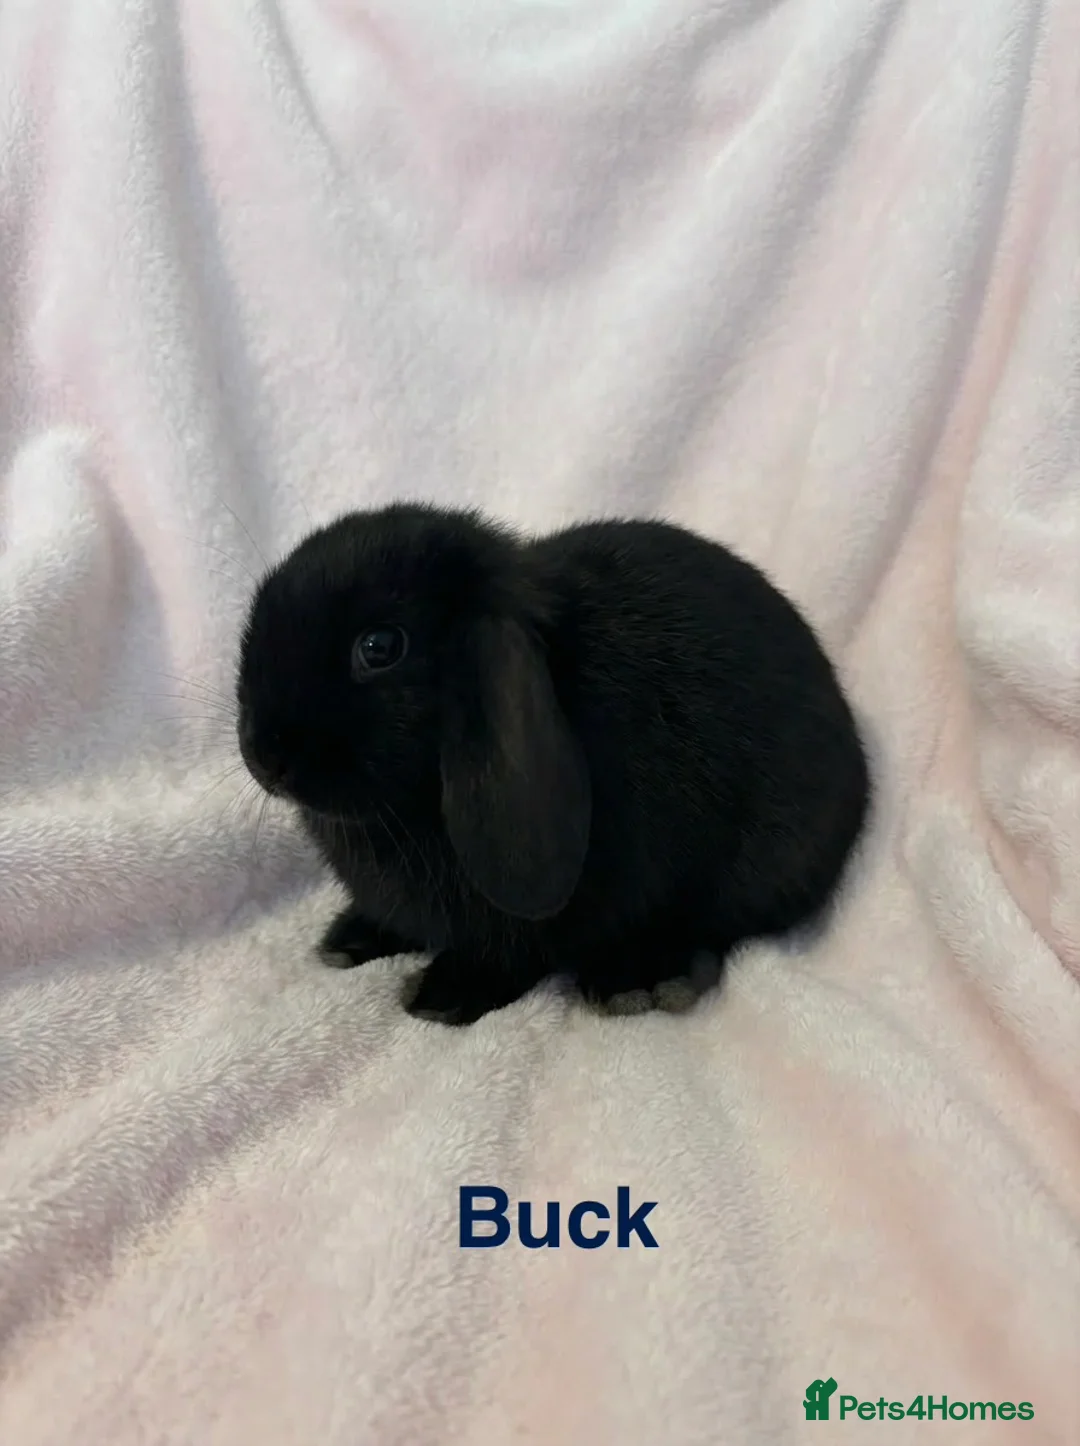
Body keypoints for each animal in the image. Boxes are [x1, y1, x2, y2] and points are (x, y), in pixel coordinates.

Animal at [235, 502, 870, 1026]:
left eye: (379, 647)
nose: (263, 756)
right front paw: (350, 939)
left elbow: (511, 953)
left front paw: (441, 996)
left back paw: (638, 979)